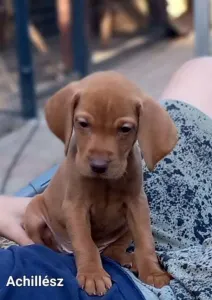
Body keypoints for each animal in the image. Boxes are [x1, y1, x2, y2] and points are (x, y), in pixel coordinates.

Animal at [24, 71, 178, 296]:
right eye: (83, 123)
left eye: (125, 129)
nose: (98, 165)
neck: (105, 183)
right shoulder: (75, 207)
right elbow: (85, 243)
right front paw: (93, 274)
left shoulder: (137, 204)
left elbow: (145, 240)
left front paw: (153, 272)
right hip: (34, 215)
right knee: (43, 244)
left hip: (125, 226)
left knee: (113, 251)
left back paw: (129, 259)